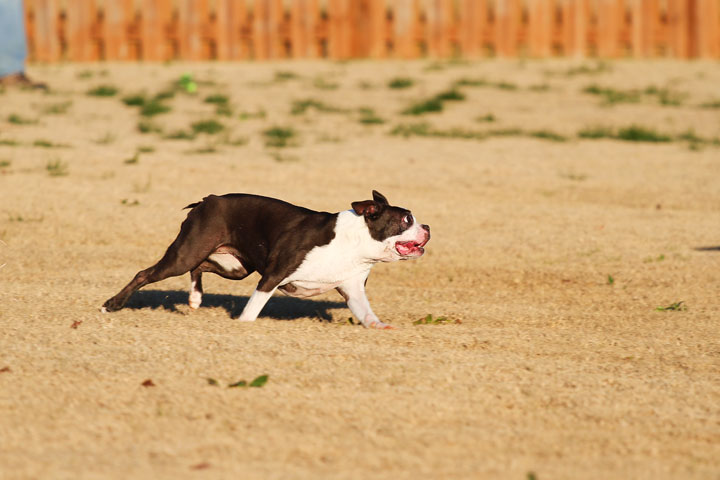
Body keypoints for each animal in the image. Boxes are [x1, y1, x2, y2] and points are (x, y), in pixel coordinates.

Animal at [100, 191, 428, 330]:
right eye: (406, 219)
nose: (426, 226)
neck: (356, 244)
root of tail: (208, 200)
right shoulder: (272, 276)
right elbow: (254, 307)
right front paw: (244, 326)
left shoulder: (353, 290)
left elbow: (366, 313)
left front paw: (379, 326)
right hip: (186, 253)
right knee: (146, 273)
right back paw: (112, 305)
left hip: (235, 267)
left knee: (200, 266)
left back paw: (195, 298)